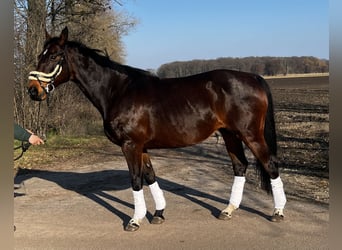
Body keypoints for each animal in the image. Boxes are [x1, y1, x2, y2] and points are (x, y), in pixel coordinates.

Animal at [28, 26, 288, 231]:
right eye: (41, 54)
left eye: (54, 56)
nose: (32, 90)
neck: (118, 90)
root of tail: (254, 77)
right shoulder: (142, 147)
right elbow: (150, 176)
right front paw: (158, 214)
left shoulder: (130, 145)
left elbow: (136, 180)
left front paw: (134, 220)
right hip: (230, 135)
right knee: (240, 166)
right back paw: (228, 210)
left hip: (250, 134)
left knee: (270, 165)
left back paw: (278, 212)